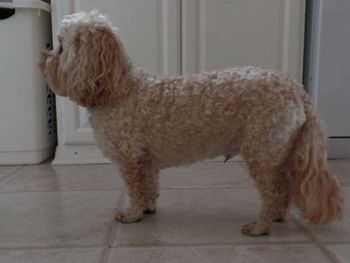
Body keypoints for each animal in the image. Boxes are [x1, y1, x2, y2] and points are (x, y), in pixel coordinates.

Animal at [40, 10, 342, 237]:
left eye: (61, 45)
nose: (43, 57)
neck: (116, 88)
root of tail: (297, 89)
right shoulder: (145, 160)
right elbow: (149, 186)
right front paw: (148, 209)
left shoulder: (131, 158)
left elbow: (136, 189)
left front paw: (132, 214)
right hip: (278, 152)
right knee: (285, 190)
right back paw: (278, 217)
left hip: (262, 152)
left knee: (274, 191)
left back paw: (260, 226)